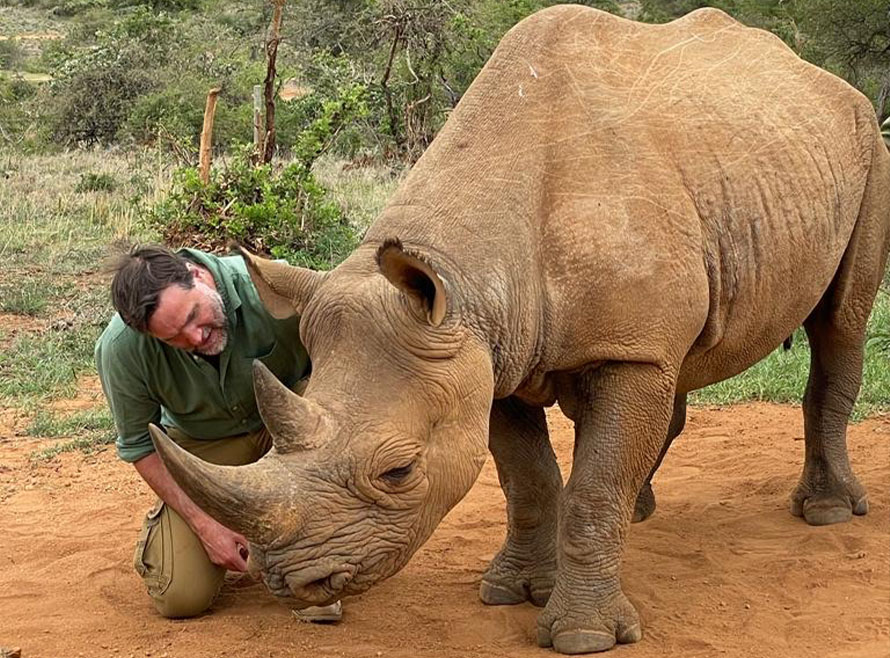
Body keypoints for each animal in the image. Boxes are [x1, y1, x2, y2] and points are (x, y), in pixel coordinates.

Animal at [148, 5, 890, 654]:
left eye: (398, 471)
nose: (291, 583)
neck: (471, 269)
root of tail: (817, 76)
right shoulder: (484, 350)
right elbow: (526, 478)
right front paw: (515, 591)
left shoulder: (600, 350)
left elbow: (593, 487)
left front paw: (584, 637)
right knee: (675, 374)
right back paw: (643, 509)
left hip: (866, 141)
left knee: (840, 325)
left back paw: (826, 511)